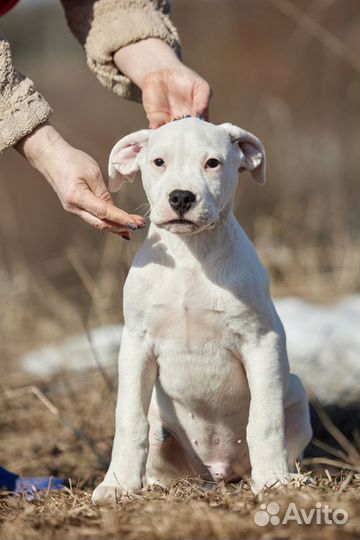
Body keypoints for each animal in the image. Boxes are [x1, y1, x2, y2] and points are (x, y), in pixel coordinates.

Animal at [91, 118, 310, 506]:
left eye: (212, 163)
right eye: (159, 162)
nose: (181, 197)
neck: (191, 255)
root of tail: (218, 471)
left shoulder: (261, 342)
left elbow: (265, 420)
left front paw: (273, 482)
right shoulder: (136, 343)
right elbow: (128, 419)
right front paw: (117, 485)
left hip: (296, 392)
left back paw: (280, 476)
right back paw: (156, 484)